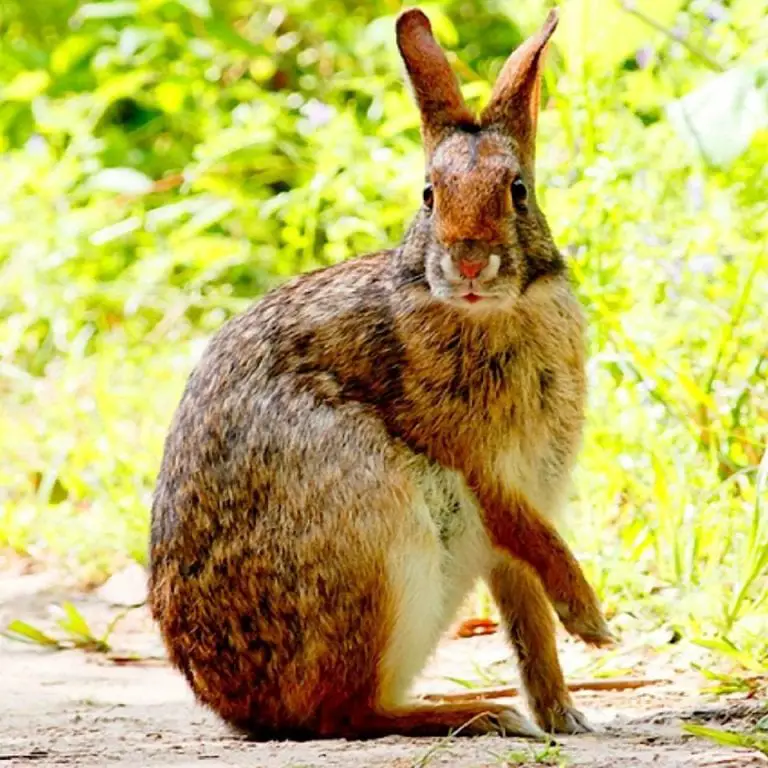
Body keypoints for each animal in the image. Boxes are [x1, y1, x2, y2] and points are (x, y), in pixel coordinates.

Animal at [148, 7, 613, 741]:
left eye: (518, 192)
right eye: (428, 196)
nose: (469, 261)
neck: (486, 313)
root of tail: (236, 704)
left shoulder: (521, 507)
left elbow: (527, 621)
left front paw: (565, 715)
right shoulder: (481, 468)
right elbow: (534, 545)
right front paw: (591, 622)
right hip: (378, 536)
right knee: (348, 711)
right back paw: (476, 713)